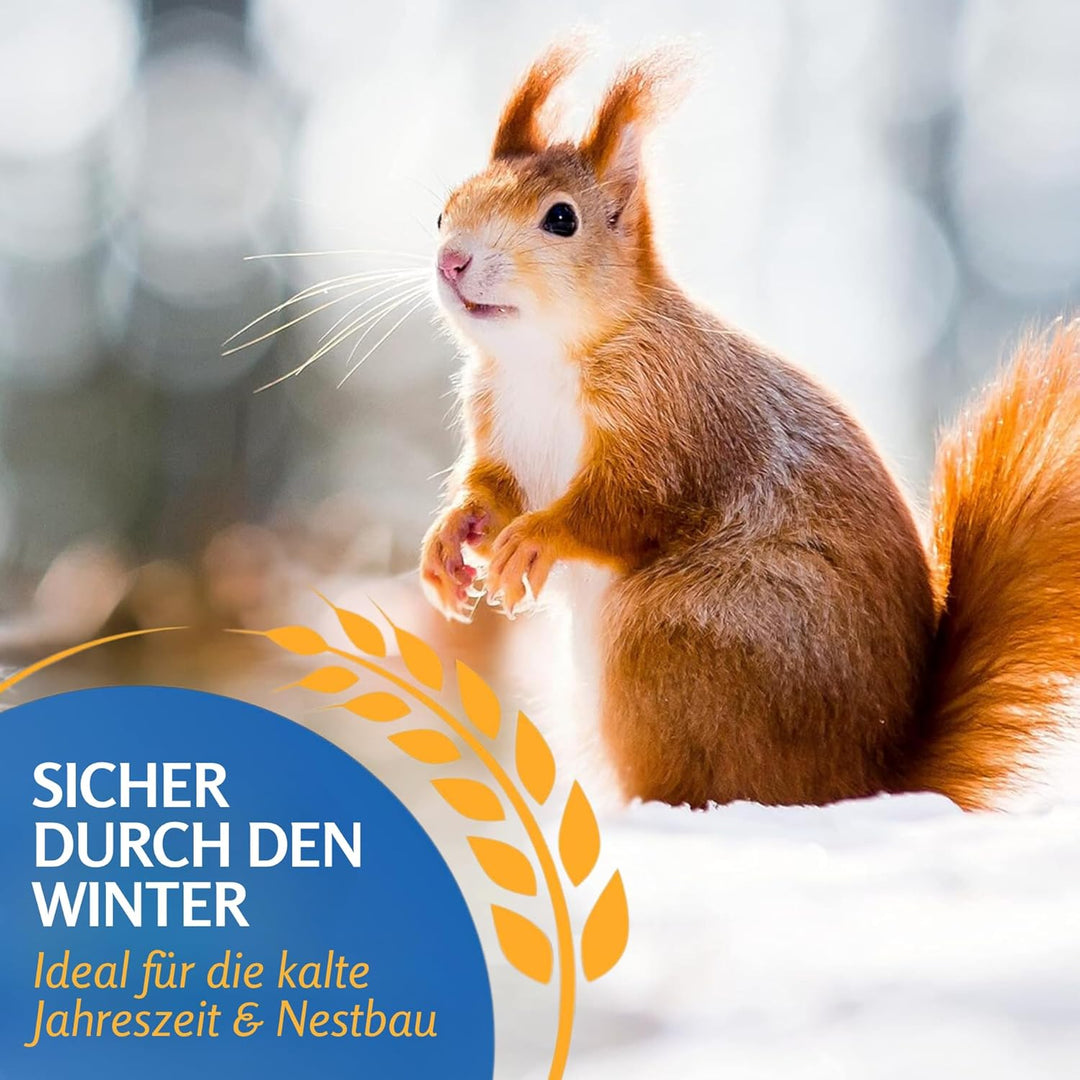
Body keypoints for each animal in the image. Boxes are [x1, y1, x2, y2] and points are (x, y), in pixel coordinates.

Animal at [419, 41, 1080, 812]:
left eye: (561, 220)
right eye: (445, 210)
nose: (452, 260)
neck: (541, 359)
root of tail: (867, 778)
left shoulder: (670, 419)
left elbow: (628, 505)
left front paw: (536, 538)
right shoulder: (498, 427)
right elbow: (493, 489)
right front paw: (452, 536)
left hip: (676, 635)